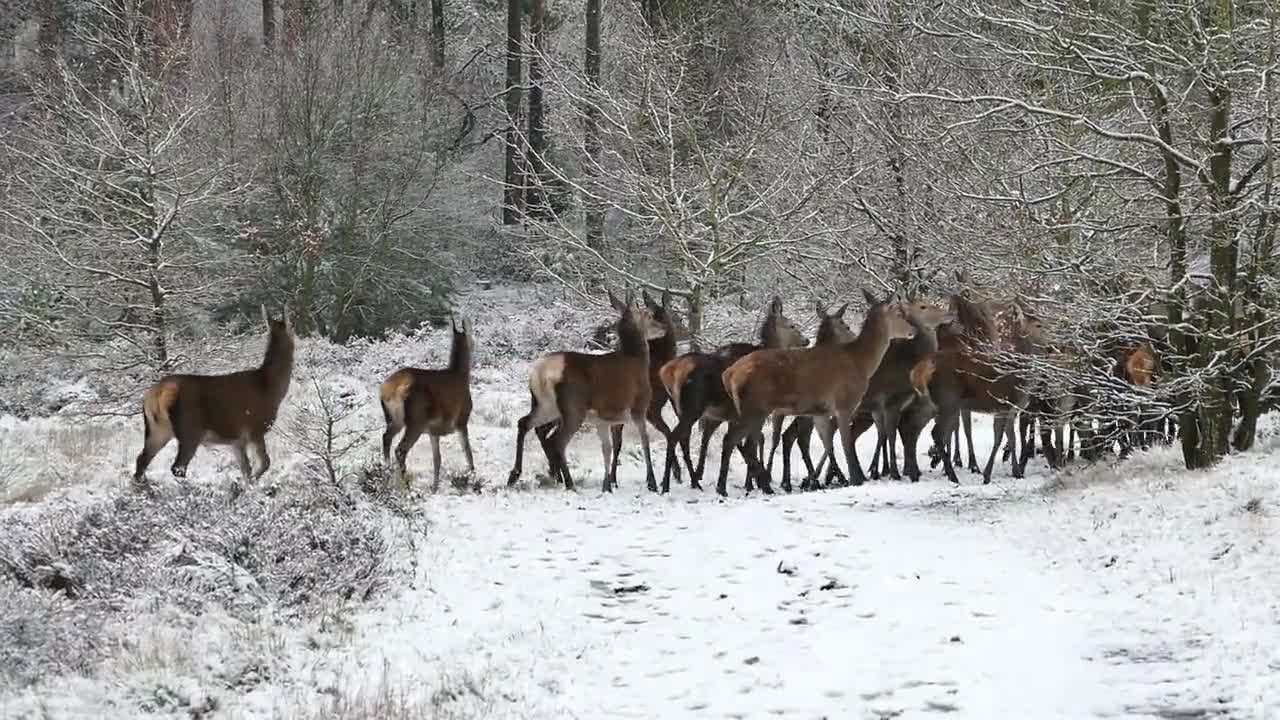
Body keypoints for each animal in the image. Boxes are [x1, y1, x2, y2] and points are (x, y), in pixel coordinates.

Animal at [131, 302, 296, 491]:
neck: (270, 388)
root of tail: (156, 395)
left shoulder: (236, 440)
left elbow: (245, 468)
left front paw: (245, 485)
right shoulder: (255, 427)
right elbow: (264, 463)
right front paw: (251, 485)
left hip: (158, 429)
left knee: (141, 460)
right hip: (189, 428)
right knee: (177, 467)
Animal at [384, 316, 481, 489]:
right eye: (472, 336)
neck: (461, 376)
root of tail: (389, 390)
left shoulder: (433, 430)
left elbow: (437, 459)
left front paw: (434, 487)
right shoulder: (462, 420)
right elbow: (468, 452)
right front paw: (473, 477)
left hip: (394, 419)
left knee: (386, 438)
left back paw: (386, 474)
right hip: (415, 421)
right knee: (400, 450)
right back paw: (405, 485)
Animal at [506, 288, 670, 489]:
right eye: (648, 315)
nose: (663, 328)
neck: (637, 360)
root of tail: (540, 374)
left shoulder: (608, 417)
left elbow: (609, 447)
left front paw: (610, 484)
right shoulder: (639, 406)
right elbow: (644, 442)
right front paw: (652, 483)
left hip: (545, 405)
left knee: (524, 423)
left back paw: (515, 475)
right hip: (573, 407)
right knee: (557, 441)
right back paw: (569, 483)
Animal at [655, 294, 803, 489]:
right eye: (792, 325)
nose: (806, 340)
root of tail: (668, 371)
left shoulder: (732, 415)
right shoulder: (750, 413)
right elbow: (750, 443)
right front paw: (756, 481)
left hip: (682, 408)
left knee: (683, 439)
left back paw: (691, 480)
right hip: (693, 408)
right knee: (675, 437)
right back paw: (668, 484)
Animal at [721, 288, 921, 497]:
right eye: (898, 314)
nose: (914, 331)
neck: (860, 363)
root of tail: (729, 374)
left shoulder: (821, 411)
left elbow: (828, 442)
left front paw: (822, 479)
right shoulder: (844, 403)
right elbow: (846, 443)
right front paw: (854, 479)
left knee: (746, 442)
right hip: (755, 407)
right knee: (736, 441)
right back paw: (737, 486)